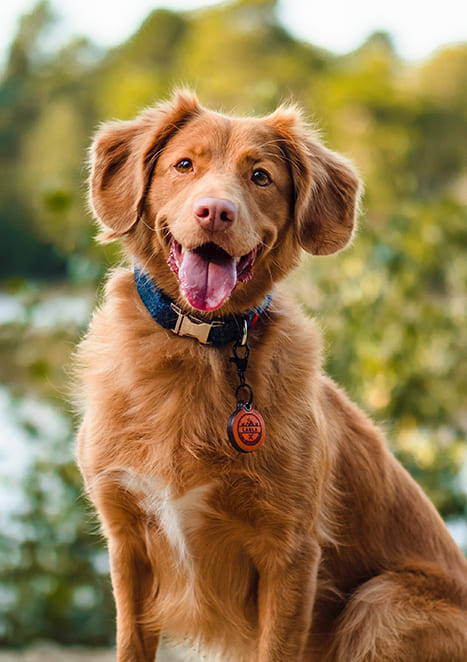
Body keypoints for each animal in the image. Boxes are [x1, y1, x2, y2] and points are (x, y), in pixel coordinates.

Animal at [77, 91, 467, 660]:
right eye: (184, 165)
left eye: (260, 176)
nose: (215, 212)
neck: (201, 346)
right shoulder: (127, 540)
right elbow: (129, 643)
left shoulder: (290, 554)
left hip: (383, 603)